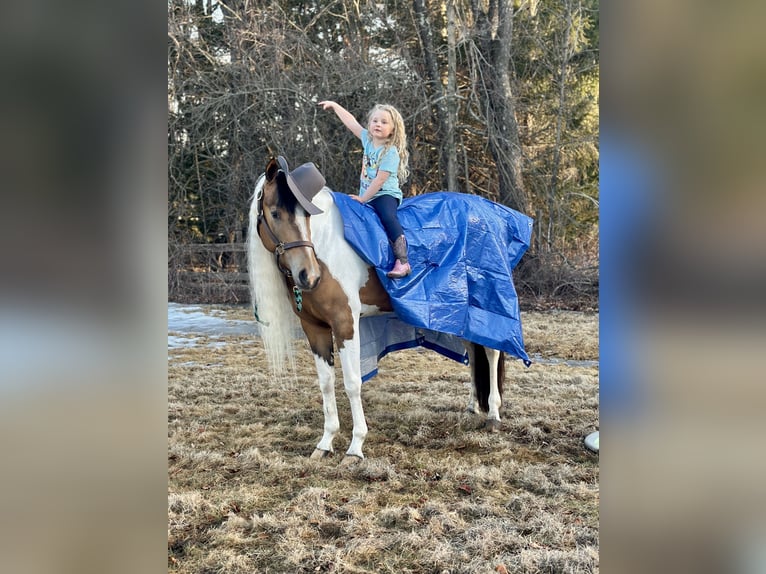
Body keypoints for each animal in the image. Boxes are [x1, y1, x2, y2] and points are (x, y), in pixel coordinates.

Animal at [249, 158, 508, 464]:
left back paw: (493, 414)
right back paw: (472, 406)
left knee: (491, 351)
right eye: (275, 213)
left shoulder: (345, 324)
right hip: (460, 315)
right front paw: (325, 443)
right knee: (472, 351)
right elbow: (326, 383)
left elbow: (352, 383)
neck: (326, 248)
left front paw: (355, 447)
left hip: (486, 307)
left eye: (307, 217)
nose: (308, 276)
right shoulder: (315, 328)